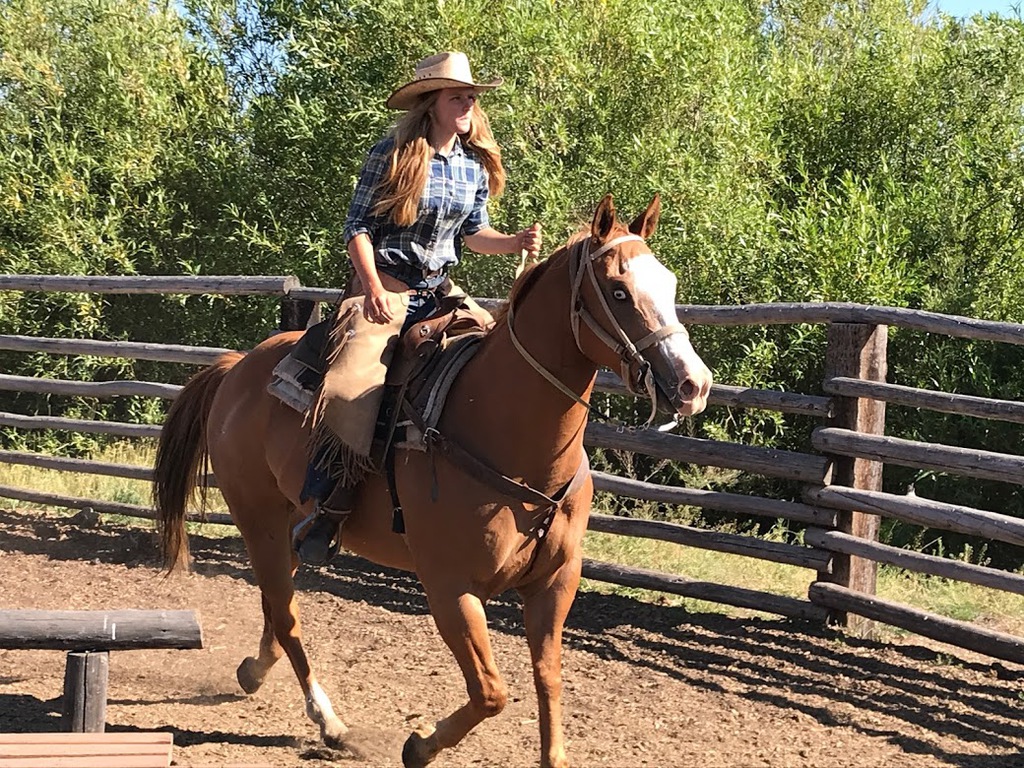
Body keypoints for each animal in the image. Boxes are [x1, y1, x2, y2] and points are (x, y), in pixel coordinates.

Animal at [153, 194, 712, 768]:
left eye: (668, 284)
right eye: (619, 291)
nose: (693, 384)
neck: (506, 436)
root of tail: (239, 367)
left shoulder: (556, 580)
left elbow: (548, 678)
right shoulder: (450, 587)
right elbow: (491, 691)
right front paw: (420, 744)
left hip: (286, 521)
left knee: (276, 601)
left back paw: (255, 670)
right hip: (257, 517)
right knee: (287, 616)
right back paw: (329, 721)